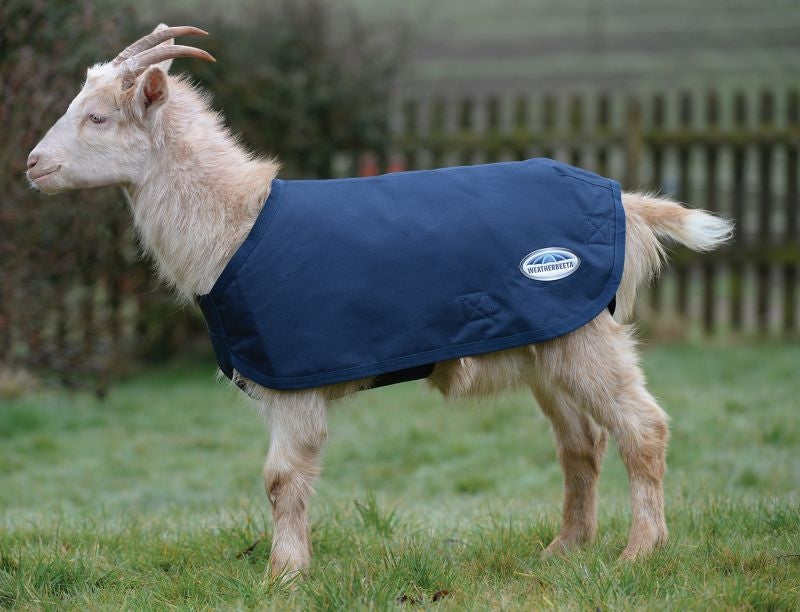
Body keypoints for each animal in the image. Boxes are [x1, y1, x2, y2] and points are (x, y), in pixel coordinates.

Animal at [27, 25, 733, 580]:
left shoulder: (294, 379)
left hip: (584, 336)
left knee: (643, 428)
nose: (33, 165)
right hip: (548, 340)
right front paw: (291, 569)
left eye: (97, 117)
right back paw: (563, 550)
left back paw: (640, 552)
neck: (236, 226)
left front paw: (283, 576)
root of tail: (625, 203)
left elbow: (281, 479)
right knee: (582, 444)